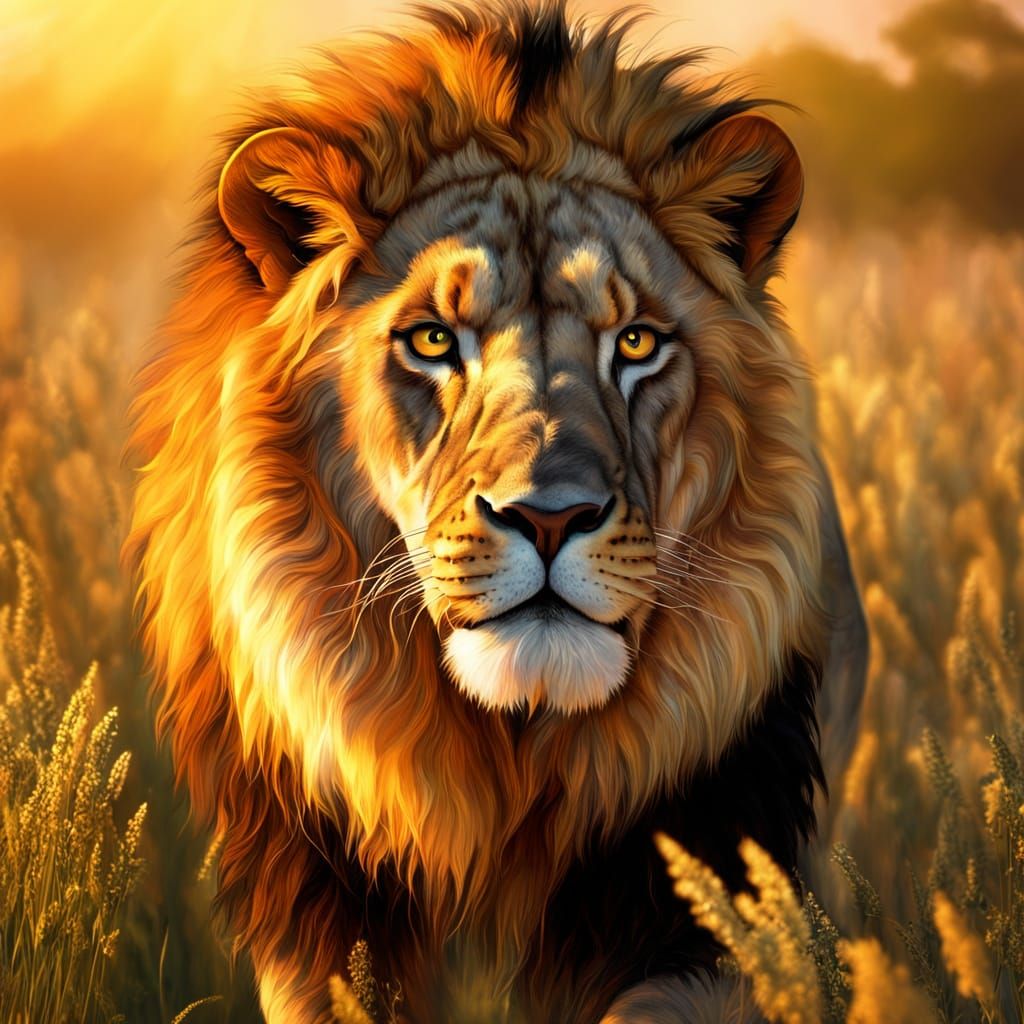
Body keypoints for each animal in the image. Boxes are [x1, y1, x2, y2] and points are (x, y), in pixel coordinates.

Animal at [126, 3, 868, 1021]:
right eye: (434, 340)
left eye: (637, 343)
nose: (551, 517)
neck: (508, 763)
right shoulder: (319, 913)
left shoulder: (698, 894)